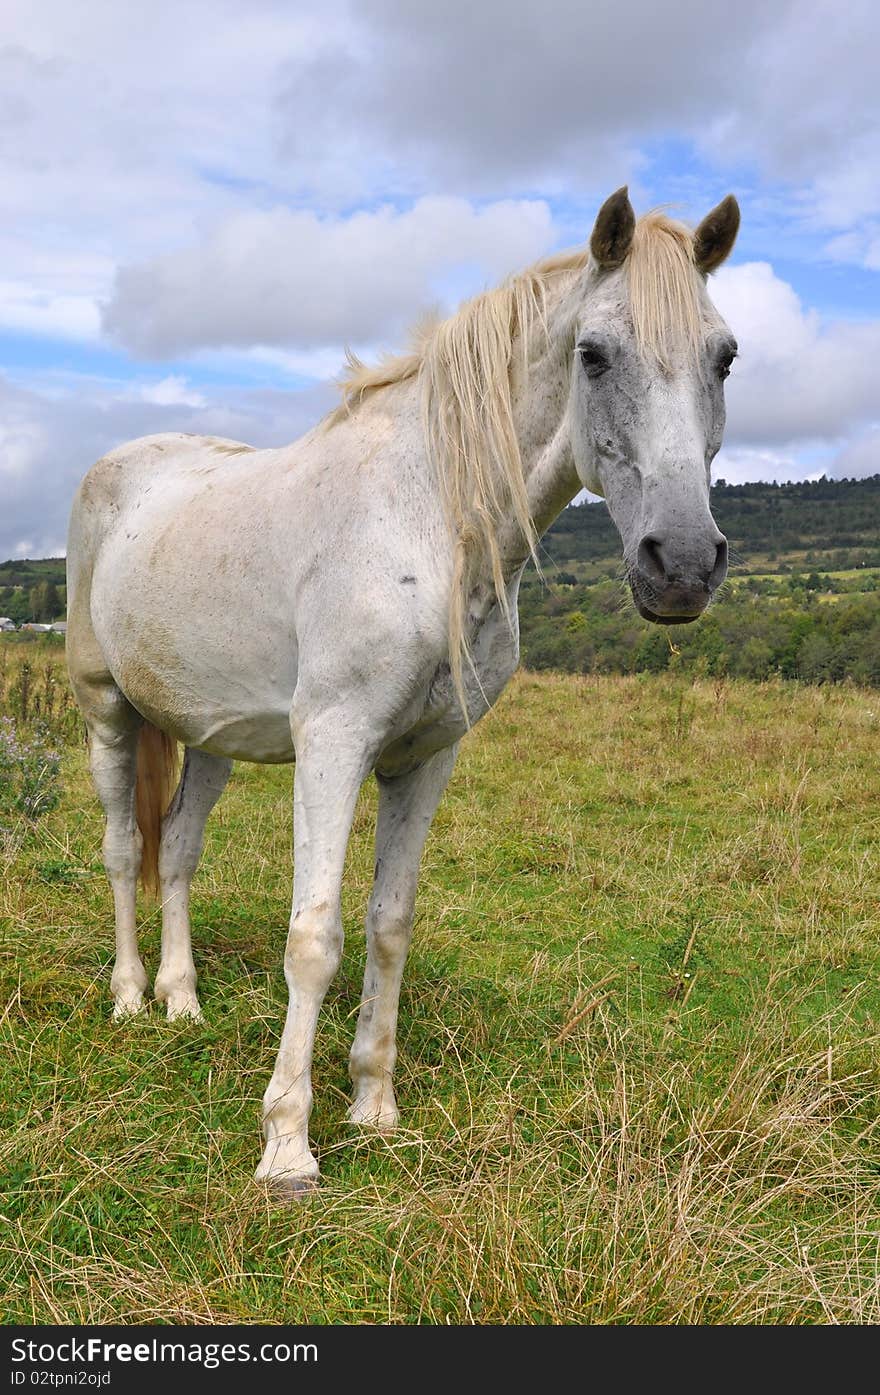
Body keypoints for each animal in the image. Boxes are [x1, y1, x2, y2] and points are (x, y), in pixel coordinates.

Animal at [69, 185, 741, 1194]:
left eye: (724, 356)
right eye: (593, 353)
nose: (684, 565)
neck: (430, 523)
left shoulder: (425, 757)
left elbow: (388, 924)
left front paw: (374, 1105)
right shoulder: (336, 742)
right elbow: (314, 938)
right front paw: (288, 1146)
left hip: (211, 736)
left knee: (177, 851)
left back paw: (182, 1001)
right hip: (109, 710)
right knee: (121, 850)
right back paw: (128, 998)